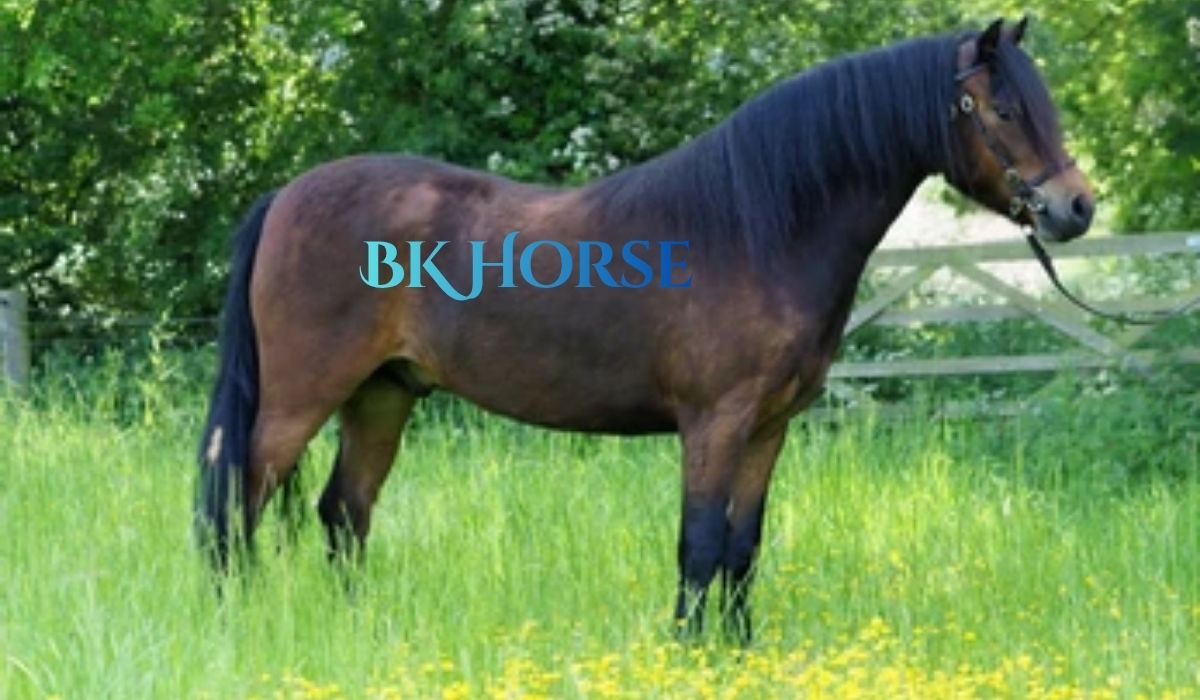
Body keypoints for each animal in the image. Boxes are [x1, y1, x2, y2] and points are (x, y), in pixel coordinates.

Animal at [197, 18, 1093, 642]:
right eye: (1003, 108)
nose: (1075, 208)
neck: (756, 227)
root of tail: (286, 197)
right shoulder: (713, 422)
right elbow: (698, 545)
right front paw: (689, 652)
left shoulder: (767, 428)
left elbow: (742, 548)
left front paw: (738, 653)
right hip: (299, 399)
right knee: (238, 504)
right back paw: (233, 625)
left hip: (383, 395)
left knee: (343, 514)